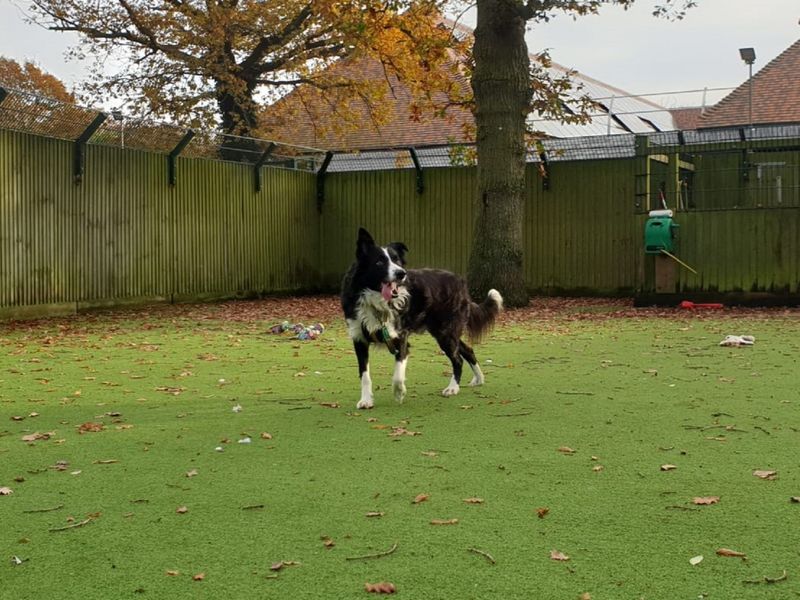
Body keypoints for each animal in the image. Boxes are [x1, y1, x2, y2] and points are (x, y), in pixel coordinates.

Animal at [340, 227, 504, 410]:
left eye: (397, 261)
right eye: (379, 262)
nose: (401, 273)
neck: (375, 301)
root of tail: (460, 281)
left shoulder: (401, 338)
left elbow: (397, 375)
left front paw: (399, 393)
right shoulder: (359, 339)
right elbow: (364, 375)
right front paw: (366, 400)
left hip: (446, 333)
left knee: (458, 359)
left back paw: (453, 388)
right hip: (444, 332)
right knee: (467, 350)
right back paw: (478, 378)